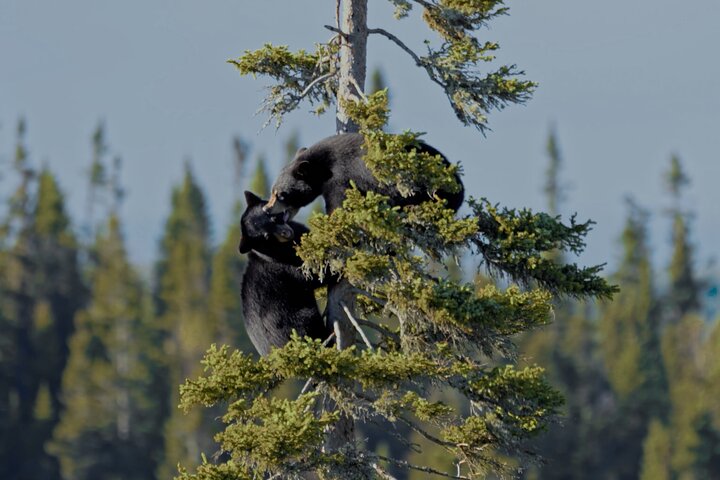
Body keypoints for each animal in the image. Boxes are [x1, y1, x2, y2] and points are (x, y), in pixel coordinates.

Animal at [238, 191, 332, 356]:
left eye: (273, 217)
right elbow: (315, 274)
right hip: (298, 320)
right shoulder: (285, 265)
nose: (286, 233)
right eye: (266, 236)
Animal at [262, 132, 464, 218]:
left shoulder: (340, 178)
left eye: (281, 194)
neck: (322, 166)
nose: (266, 209)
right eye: (272, 191)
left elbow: (338, 204)